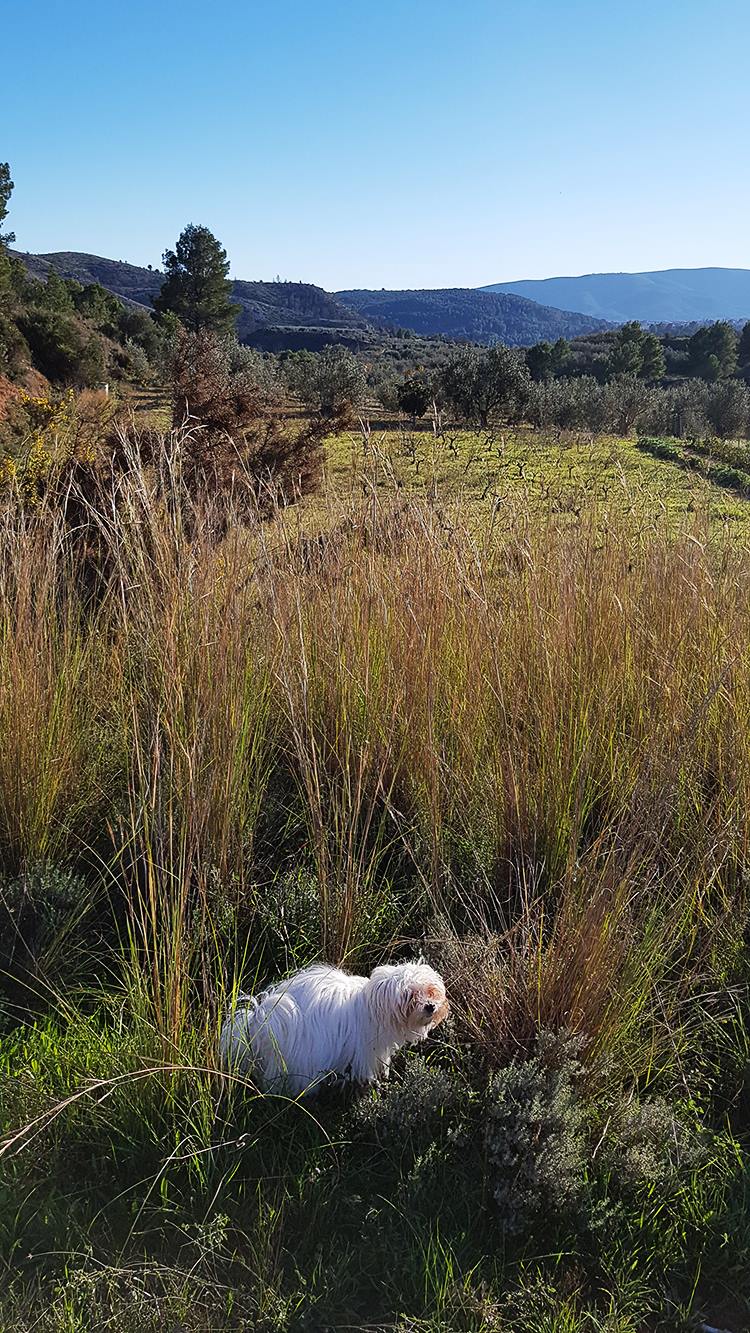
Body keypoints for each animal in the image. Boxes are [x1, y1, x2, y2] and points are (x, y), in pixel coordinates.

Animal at [219, 965, 450, 1098]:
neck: (373, 1008)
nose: (430, 1006)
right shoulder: (365, 1053)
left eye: (430, 991)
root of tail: (257, 1023)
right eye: (410, 996)